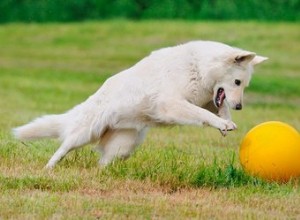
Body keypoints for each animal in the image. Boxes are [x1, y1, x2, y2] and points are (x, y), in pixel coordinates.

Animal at [12, 40, 268, 168]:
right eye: (237, 82)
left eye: (244, 85)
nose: (240, 107)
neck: (198, 66)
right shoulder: (173, 104)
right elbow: (202, 114)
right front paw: (223, 124)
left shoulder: (205, 99)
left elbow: (216, 108)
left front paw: (225, 123)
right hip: (85, 133)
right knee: (63, 147)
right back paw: (49, 168)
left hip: (124, 146)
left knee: (103, 162)